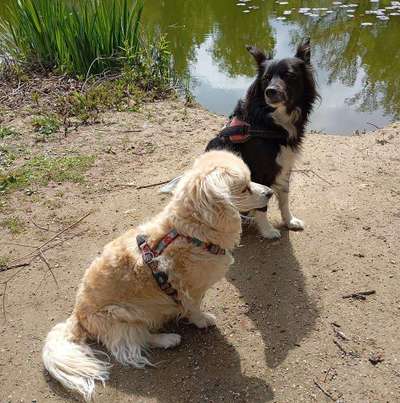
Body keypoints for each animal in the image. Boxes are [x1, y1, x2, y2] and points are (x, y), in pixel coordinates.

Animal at [43, 151, 272, 400]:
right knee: (133, 341)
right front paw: (202, 320)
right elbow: (194, 309)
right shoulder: (189, 291)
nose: (270, 192)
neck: (190, 233)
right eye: (244, 188)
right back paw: (168, 339)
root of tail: (77, 316)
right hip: (125, 314)